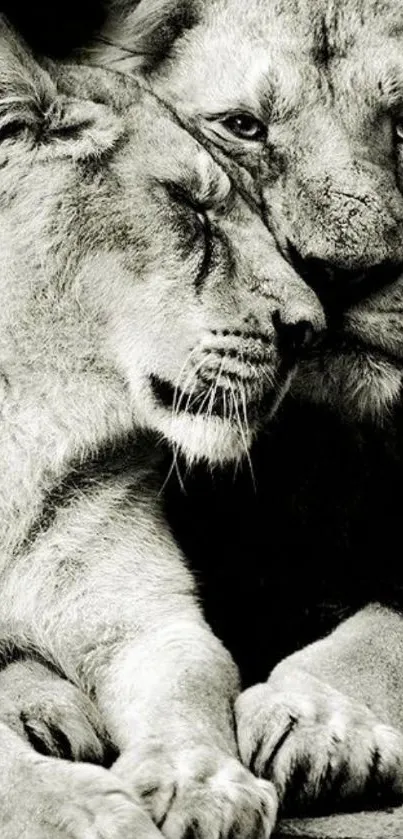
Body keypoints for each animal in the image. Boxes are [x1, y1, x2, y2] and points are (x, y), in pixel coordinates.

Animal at [0, 14, 332, 839]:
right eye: (193, 207)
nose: (311, 329)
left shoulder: (149, 616)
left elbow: (194, 684)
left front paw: (205, 786)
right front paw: (85, 809)